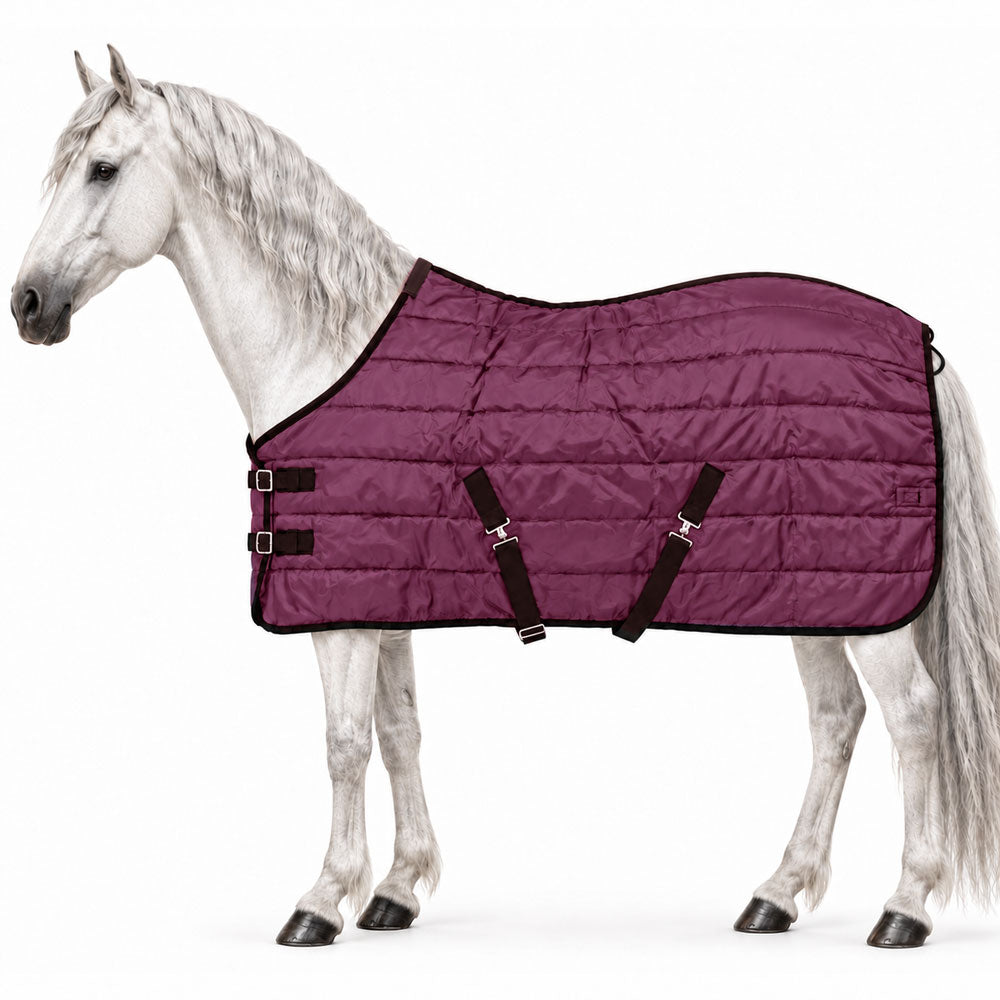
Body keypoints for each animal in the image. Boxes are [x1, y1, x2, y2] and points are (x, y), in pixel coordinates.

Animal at [11, 47, 1000, 949]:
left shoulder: (341, 615)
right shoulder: (388, 599)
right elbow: (399, 730)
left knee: (913, 718)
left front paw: (321, 901)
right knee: (837, 721)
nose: (26, 305)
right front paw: (395, 892)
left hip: (860, 607)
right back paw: (776, 895)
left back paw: (904, 909)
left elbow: (343, 743)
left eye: (103, 169)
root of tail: (918, 341)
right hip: (812, 593)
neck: (330, 349)